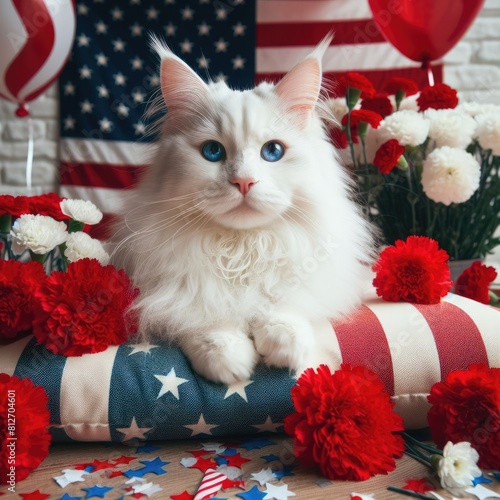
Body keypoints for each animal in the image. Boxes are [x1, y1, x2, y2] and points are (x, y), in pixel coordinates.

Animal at [111, 37, 374, 384]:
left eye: (273, 151)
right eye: (212, 152)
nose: (244, 181)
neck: (241, 249)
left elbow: (284, 302)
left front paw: (285, 344)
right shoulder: (179, 288)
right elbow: (204, 316)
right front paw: (231, 362)